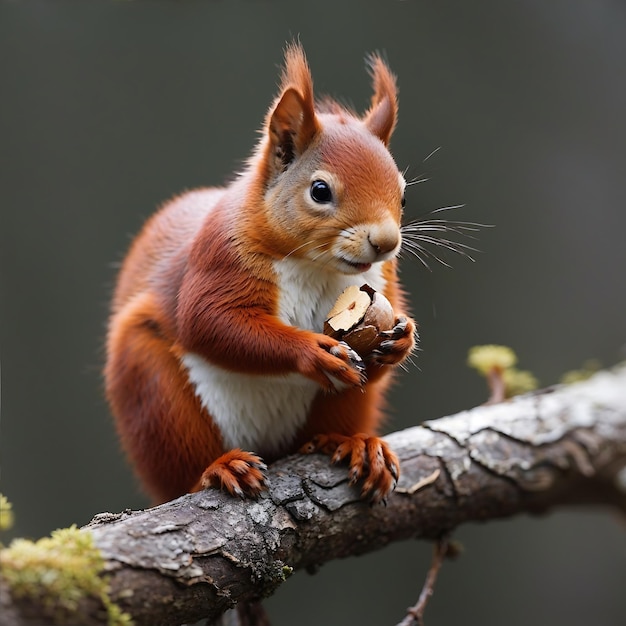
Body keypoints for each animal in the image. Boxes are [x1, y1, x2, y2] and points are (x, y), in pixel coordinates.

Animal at [103, 42, 414, 502]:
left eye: (403, 193)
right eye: (319, 191)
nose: (386, 242)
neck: (314, 265)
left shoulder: (382, 278)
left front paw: (403, 338)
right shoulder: (219, 258)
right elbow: (212, 323)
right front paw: (312, 352)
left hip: (341, 406)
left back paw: (354, 444)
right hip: (153, 393)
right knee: (182, 466)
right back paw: (218, 468)